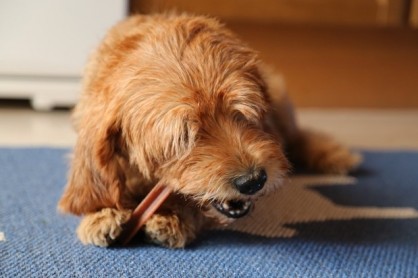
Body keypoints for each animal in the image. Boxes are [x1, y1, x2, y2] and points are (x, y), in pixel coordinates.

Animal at [57, 13, 360, 248]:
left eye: (242, 113)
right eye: (183, 137)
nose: (253, 181)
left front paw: (173, 216)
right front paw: (101, 214)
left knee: (297, 137)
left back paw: (334, 154)